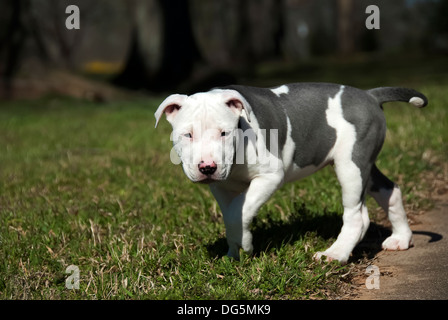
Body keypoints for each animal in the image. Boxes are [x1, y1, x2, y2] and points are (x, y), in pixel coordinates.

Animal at [154, 83, 428, 264]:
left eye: (224, 133)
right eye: (187, 135)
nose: (207, 167)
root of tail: (369, 95)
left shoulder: (269, 177)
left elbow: (238, 211)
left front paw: (245, 244)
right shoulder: (220, 186)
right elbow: (231, 214)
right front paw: (233, 254)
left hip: (351, 164)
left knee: (357, 216)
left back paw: (334, 255)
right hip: (364, 165)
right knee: (390, 189)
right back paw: (401, 239)